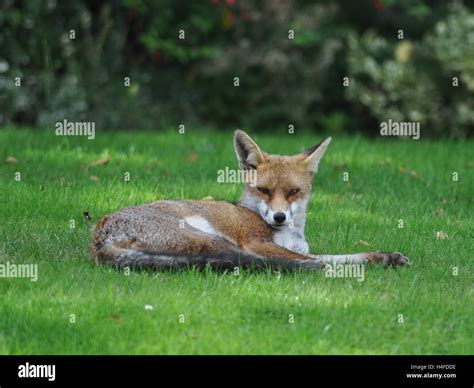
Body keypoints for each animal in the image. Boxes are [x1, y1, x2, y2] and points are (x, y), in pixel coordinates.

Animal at [91, 130, 408, 270]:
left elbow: (339, 256)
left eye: (293, 192)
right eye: (264, 190)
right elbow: (317, 260)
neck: (289, 233)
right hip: (216, 240)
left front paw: (382, 257)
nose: (279, 217)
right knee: (250, 262)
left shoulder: (297, 247)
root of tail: (100, 237)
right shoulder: (256, 242)